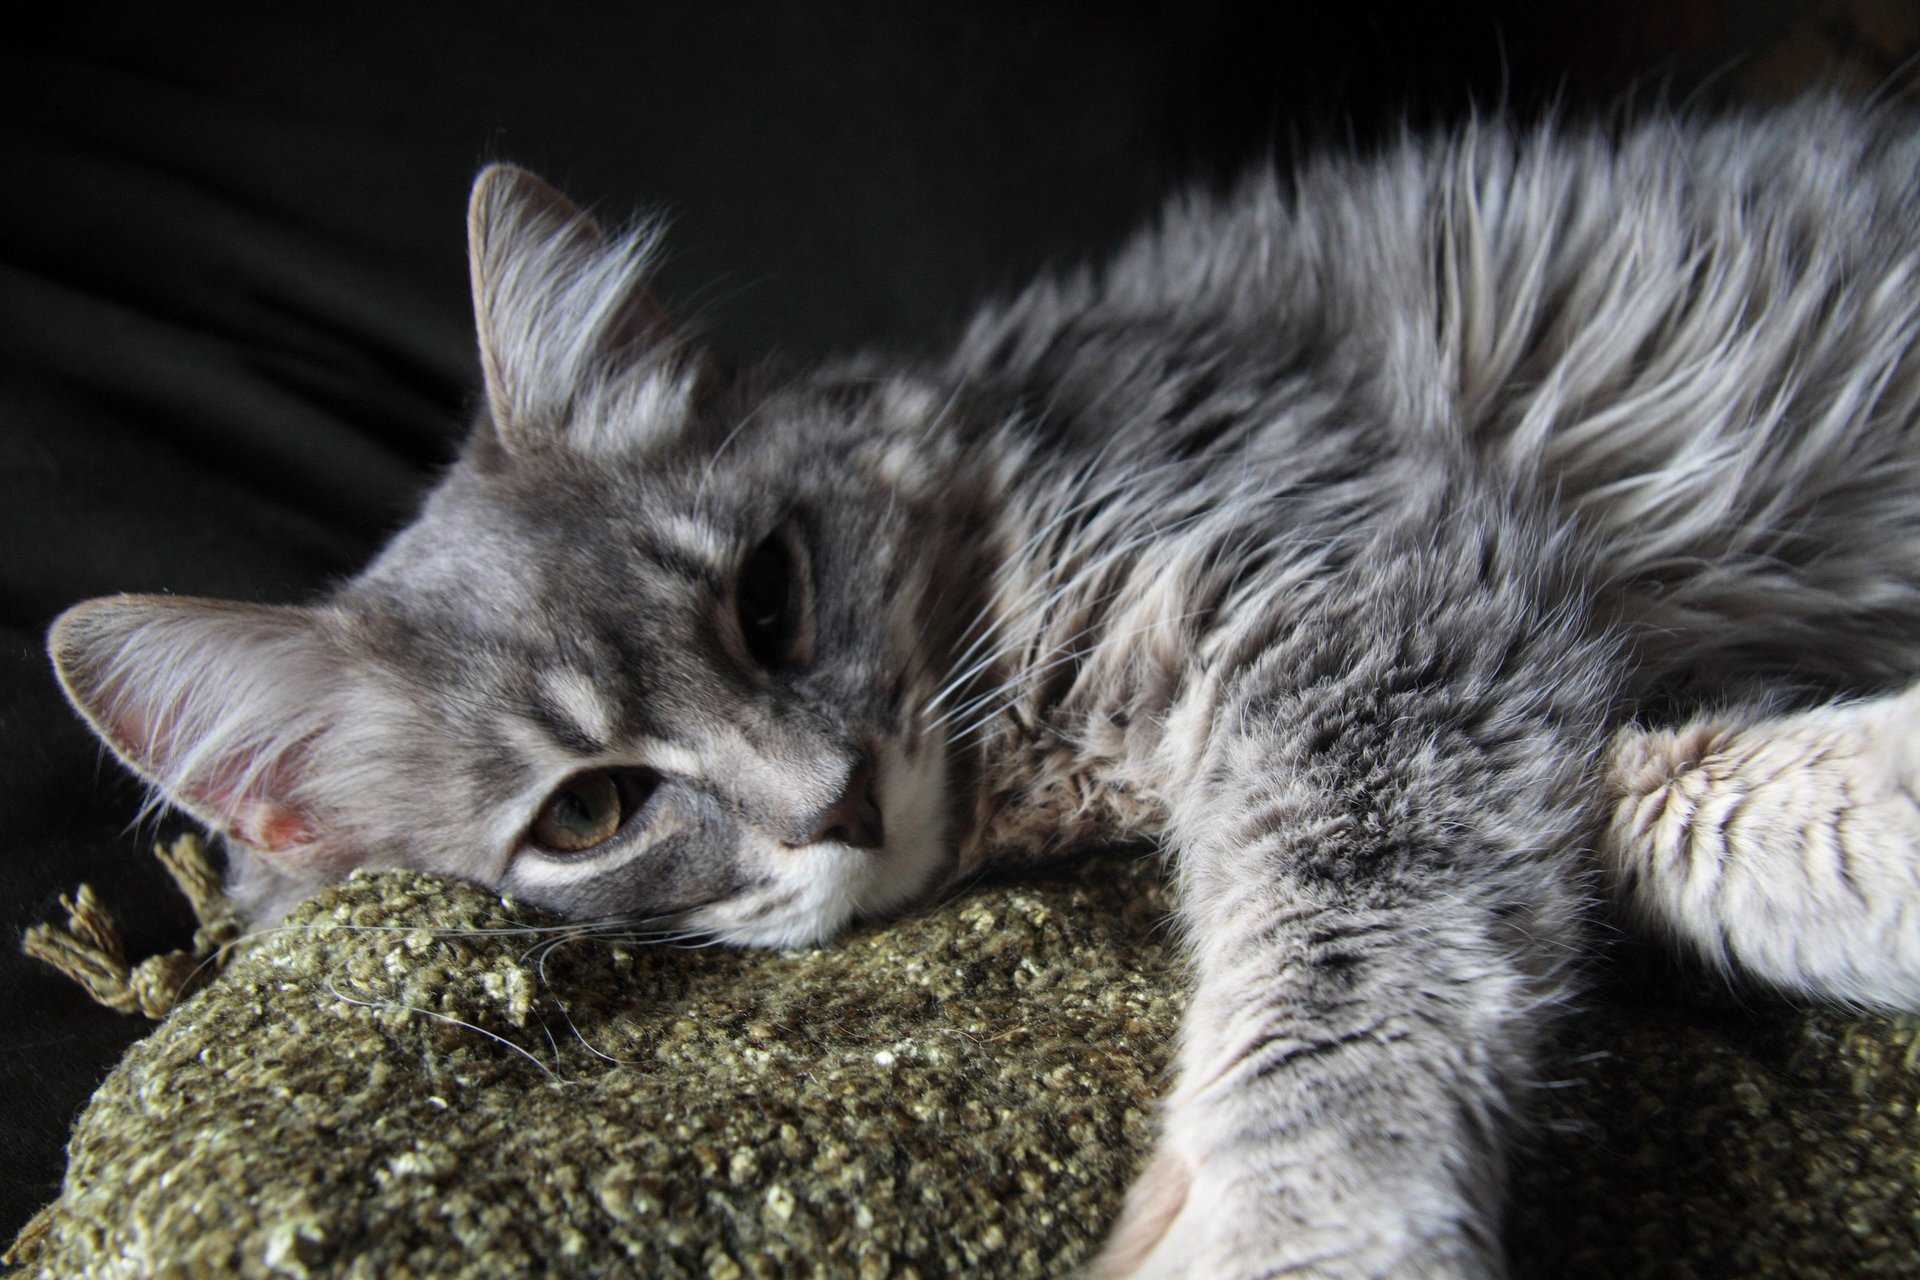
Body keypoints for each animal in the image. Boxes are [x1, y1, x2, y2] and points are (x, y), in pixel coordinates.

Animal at [41, 94, 1920, 1274]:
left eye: (772, 601)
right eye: (589, 814)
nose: (836, 805)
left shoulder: (1368, 600)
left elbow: (1341, 981)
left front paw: (1294, 1234)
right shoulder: (1440, 638)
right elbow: (1666, 812)